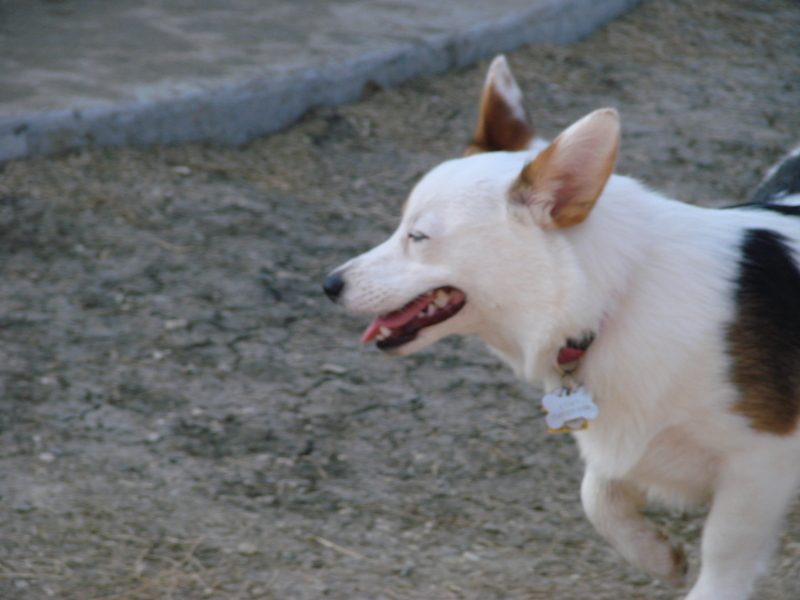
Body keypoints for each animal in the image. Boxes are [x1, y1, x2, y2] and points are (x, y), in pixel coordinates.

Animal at [324, 54, 800, 596]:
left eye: (418, 236)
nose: (329, 284)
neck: (618, 298)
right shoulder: (629, 447)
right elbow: (596, 496)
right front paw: (658, 555)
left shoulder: (759, 464)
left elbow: (723, 554)